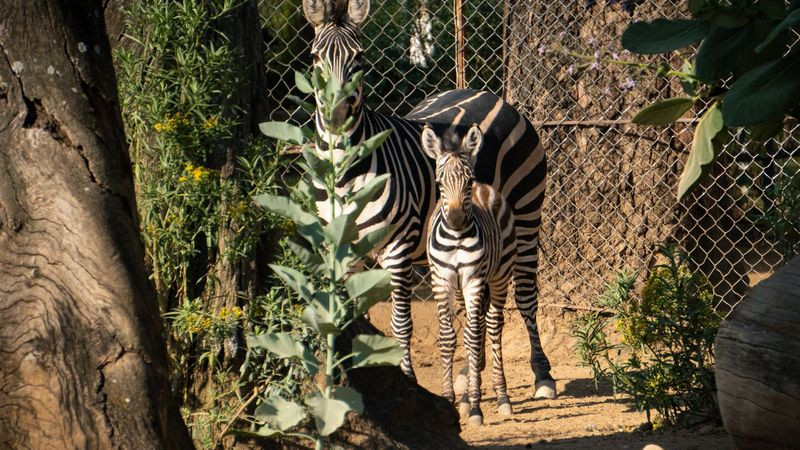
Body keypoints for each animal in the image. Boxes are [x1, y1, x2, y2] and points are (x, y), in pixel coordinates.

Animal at [423, 124, 515, 426]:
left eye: (467, 181)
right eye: (439, 183)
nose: (455, 221)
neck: (455, 239)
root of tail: (485, 187)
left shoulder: (474, 280)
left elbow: (475, 339)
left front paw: (476, 407)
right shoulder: (441, 281)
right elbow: (448, 337)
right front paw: (450, 399)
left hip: (499, 275)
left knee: (493, 326)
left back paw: (502, 397)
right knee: (472, 331)